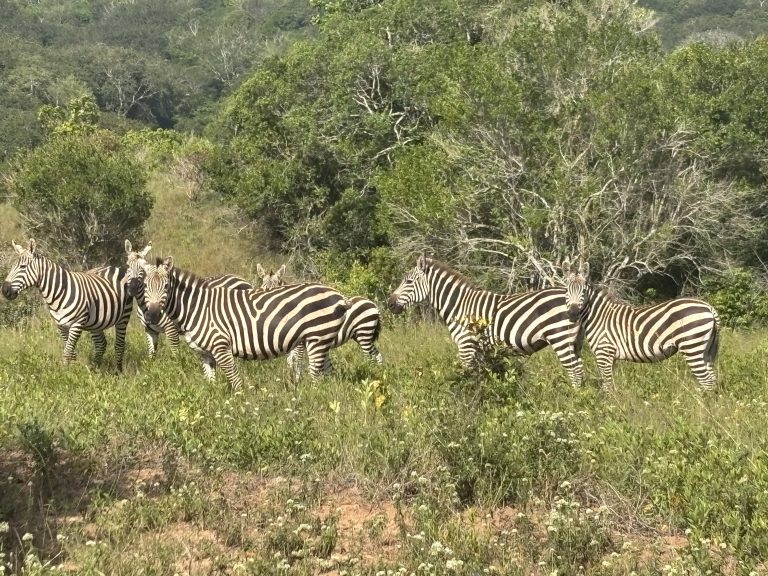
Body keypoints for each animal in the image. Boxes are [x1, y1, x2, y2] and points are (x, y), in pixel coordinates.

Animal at [2, 239, 133, 371]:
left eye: (23, 267)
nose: (4, 290)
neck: (59, 293)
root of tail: (111, 267)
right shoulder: (61, 325)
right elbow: (71, 352)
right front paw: (72, 370)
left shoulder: (77, 324)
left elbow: (67, 351)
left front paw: (64, 373)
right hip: (96, 322)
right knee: (101, 343)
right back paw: (94, 369)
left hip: (124, 316)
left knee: (119, 344)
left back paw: (117, 371)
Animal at [141, 257, 350, 391]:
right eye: (144, 286)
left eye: (166, 286)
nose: (152, 315)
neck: (197, 308)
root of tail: (339, 295)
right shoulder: (204, 353)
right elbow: (211, 383)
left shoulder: (221, 346)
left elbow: (236, 381)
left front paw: (240, 411)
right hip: (322, 340)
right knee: (328, 375)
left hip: (316, 339)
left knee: (316, 377)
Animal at [387, 254, 584, 385]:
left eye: (408, 282)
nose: (389, 303)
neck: (458, 305)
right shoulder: (480, 349)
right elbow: (482, 376)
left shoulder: (466, 345)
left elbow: (468, 376)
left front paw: (467, 403)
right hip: (575, 341)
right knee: (580, 369)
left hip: (560, 337)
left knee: (574, 371)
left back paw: (574, 399)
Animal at [563, 260, 720, 392]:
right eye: (566, 291)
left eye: (583, 291)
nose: (572, 313)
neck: (598, 316)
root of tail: (708, 307)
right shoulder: (611, 356)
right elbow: (610, 384)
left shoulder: (604, 352)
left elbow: (607, 386)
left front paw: (610, 406)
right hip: (706, 350)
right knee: (712, 379)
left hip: (691, 345)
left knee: (706, 380)